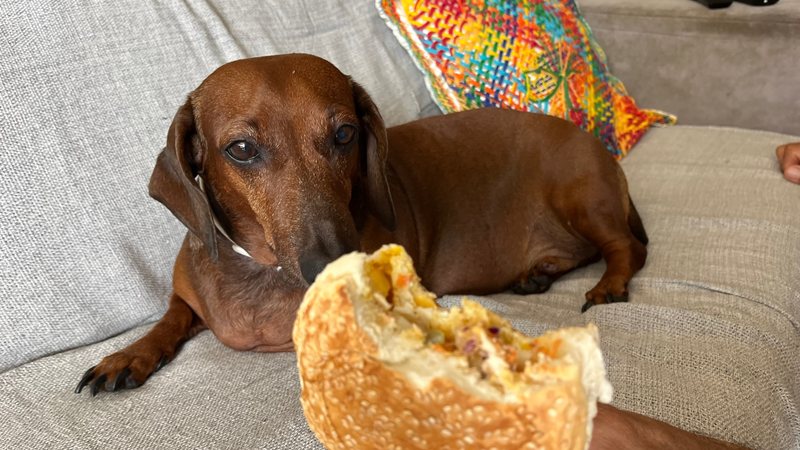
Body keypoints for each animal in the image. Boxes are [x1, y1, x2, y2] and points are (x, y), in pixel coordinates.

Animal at [75, 54, 648, 396]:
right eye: (240, 149)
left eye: (345, 134)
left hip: (580, 199)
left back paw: (610, 282)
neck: (263, 270)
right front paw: (128, 354)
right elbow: (171, 316)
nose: (332, 262)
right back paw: (539, 273)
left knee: (626, 248)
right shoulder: (184, 297)